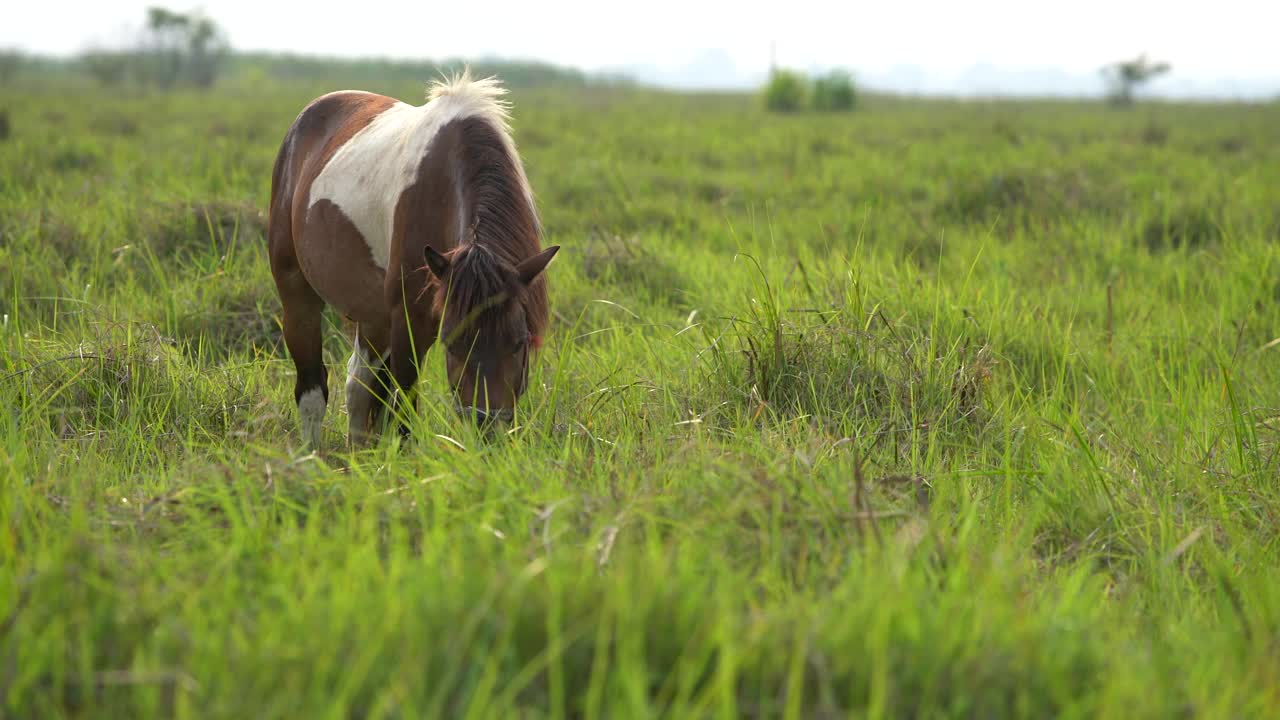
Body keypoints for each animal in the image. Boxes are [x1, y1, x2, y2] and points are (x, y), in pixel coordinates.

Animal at [267, 71, 558, 443]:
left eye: (519, 342)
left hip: (373, 316)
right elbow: (403, 408)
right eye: (453, 343)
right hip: (297, 294)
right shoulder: (410, 322)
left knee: (358, 384)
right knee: (312, 388)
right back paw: (311, 452)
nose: (487, 428)